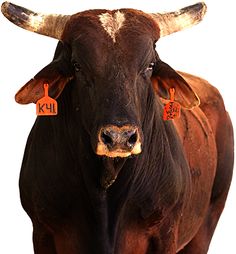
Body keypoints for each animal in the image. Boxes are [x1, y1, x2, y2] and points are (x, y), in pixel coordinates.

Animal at [1, 1, 234, 254]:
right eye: (77, 66)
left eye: (150, 65)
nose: (119, 137)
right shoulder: (42, 231)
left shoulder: (166, 233)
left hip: (207, 222)